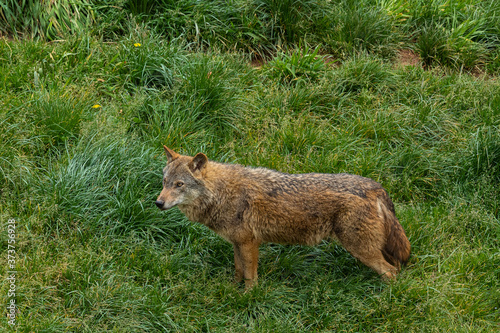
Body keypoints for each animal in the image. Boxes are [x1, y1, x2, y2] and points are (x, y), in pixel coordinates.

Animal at [156, 147, 410, 286]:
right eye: (165, 182)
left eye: (180, 185)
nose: (158, 203)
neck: (221, 193)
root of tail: (375, 187)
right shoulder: (238, 243)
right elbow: (238, 271)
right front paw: (231, 290)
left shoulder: (250, 243)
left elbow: (250, 276)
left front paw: (248, 298)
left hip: (361, 249)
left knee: (392, 272)